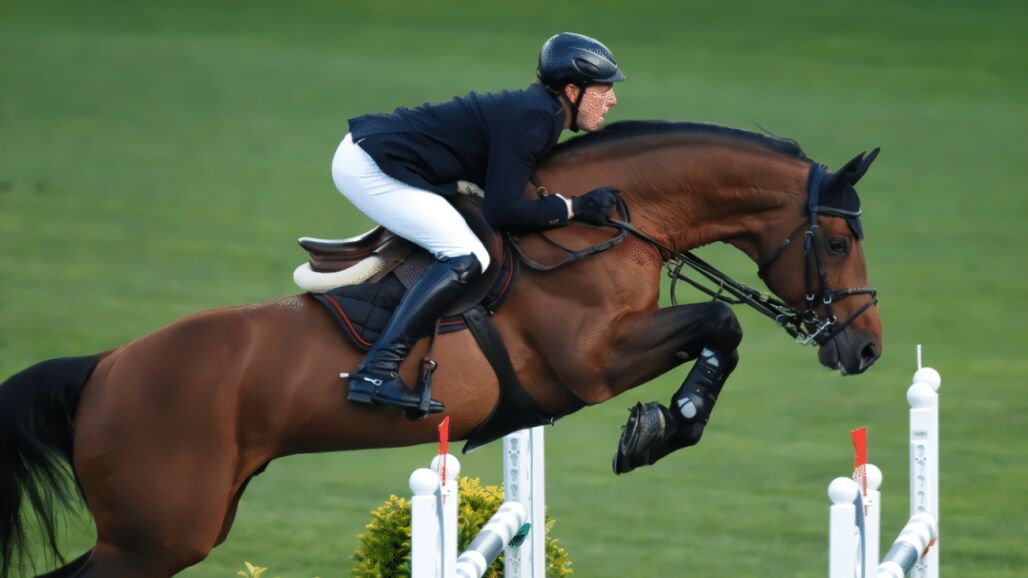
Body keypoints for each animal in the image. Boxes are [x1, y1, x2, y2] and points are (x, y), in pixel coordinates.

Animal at [0, 121, 882, 578]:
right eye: (839, 242)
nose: (867, 350)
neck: (604, 225)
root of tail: (104, 370)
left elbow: (718, 330)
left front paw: (664, 424)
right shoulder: (592, 362)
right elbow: (720, 326)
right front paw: (662, 427)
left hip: (175, 529)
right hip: (155, 537)